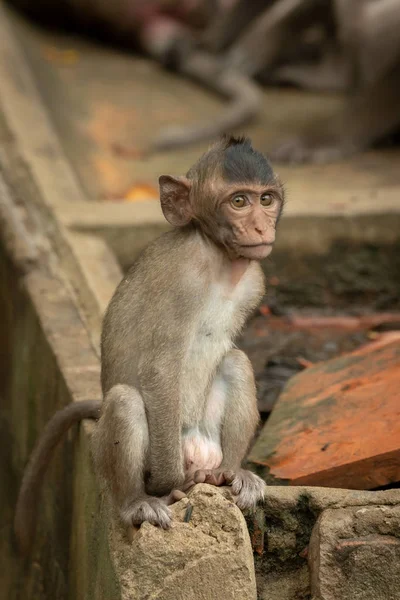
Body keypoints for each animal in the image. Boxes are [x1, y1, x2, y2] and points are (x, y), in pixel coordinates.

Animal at [14, 136, 284, 552]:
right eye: (239, 201)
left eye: (266, 199)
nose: (260, 225)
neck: (218, 258)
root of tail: (196, 451)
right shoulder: (183, 280)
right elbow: (160, 368)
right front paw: (166, 485)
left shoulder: (255, 280)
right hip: (137, 448)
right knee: (125, 402)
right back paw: (140, 501)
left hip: (206, 436)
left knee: (236, 362)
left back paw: (230, 474)